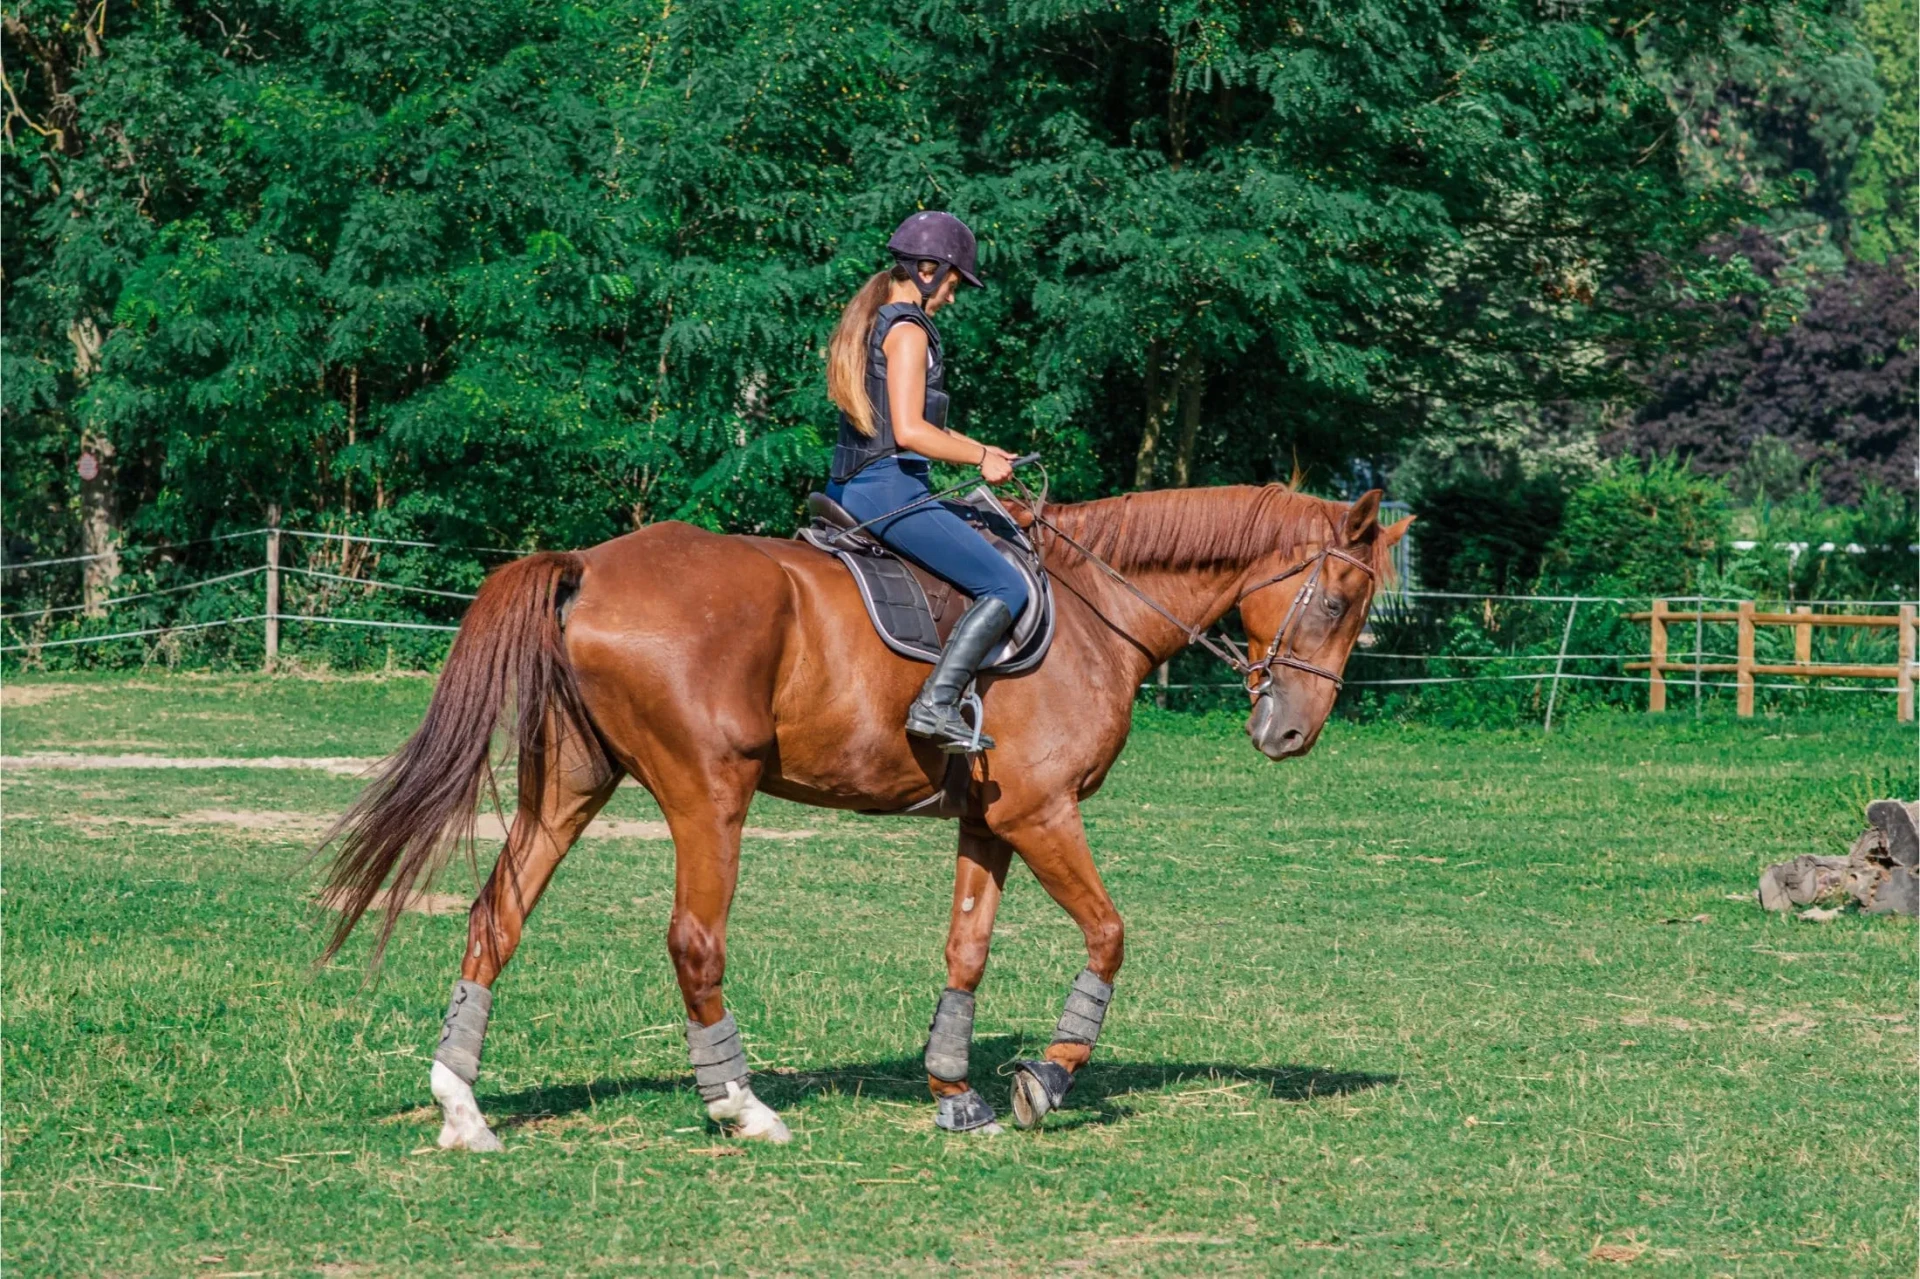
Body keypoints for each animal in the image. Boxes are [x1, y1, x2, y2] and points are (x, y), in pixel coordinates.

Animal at [317, 483, 1408, 1148]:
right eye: (1339, 597)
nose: (1289, 733)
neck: (1095, 611)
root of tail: (589, 565)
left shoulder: (990, 824)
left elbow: (966, 949)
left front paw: (954, 1091)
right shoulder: (1043, 813)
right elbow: (1108, 933)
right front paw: (1046, 1080)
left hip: (573, 786)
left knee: (496, 913)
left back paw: (463, 1108)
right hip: (709, 793)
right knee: (694, 941)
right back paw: (741, 1105)